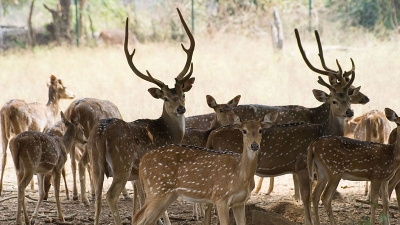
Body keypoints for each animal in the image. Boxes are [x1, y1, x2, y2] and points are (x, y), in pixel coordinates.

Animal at [87, 7, 195, 224]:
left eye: (183, 94)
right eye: (165, 98)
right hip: (122, 164)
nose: (181, 108)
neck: (168, 134)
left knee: (97, 198)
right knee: (111, 195)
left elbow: (143, 200)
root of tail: (101, 132)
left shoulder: (137, 176)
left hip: (96, 164)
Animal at [133, 112, 280, 225]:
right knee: (137, 218)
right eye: (244, 131)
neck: (240, 174)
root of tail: (142, 162)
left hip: (168, 194)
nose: (254, 146)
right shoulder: (220, 197)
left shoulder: (239, 202)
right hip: (156, 189)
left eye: (261, 130)